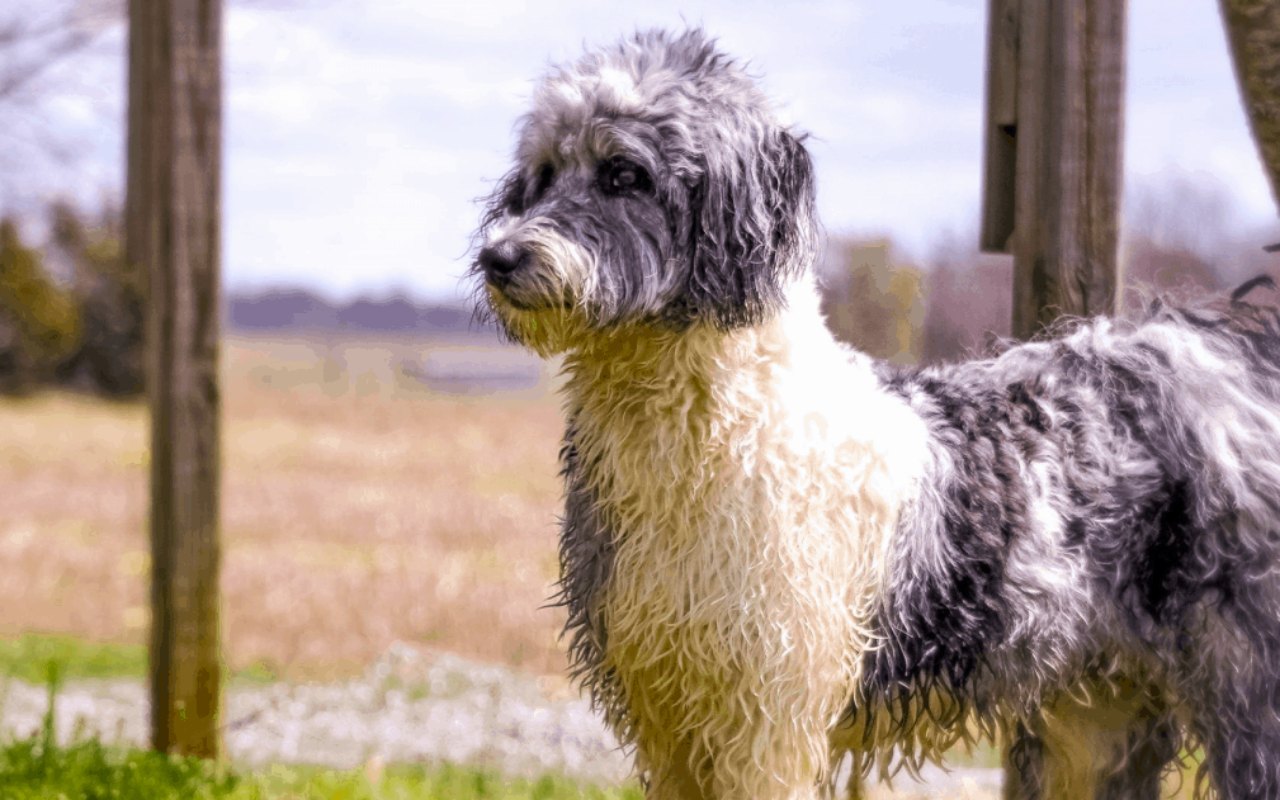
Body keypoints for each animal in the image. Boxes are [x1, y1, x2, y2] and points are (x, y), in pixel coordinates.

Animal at [471, 28, 1280, 793]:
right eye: (543, 174)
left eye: (622, 173)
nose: (497, 258)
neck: (712, 426)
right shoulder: (671, 718)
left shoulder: (767, 719)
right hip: (1100, 718)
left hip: (1245, 687)